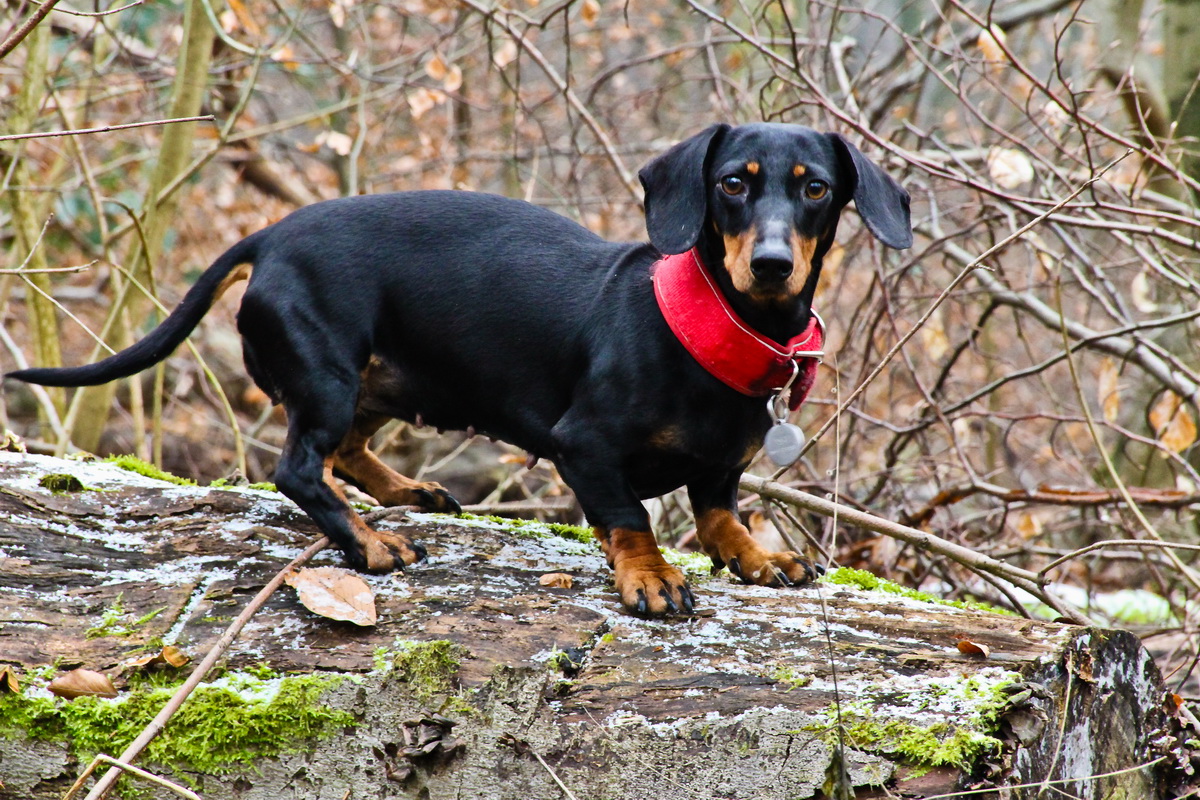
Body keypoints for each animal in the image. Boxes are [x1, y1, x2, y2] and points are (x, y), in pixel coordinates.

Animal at [7, 122, 907, 618]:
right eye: (732, 184)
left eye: (815, 190)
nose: (771, 265)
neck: (711, 330)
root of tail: (272, 235)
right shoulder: (583, 447)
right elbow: (629, 518)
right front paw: (650, 578)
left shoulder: (724, 467)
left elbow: (720, 515)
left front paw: (759, 556)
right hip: (329, 374)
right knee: (298, 468)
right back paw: (370, 543)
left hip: (385, 380)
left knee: (342, 453)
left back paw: (408, 493)